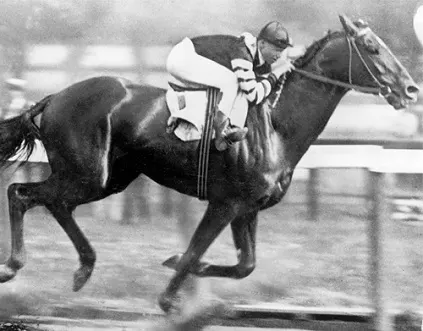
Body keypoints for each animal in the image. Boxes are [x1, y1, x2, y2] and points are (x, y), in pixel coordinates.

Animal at [0, 14, 420, 312]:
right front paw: (171, 297)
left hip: (108, 179)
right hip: (87, 174)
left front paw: (178, 266)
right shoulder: (225, 202)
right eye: (372, 47)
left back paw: (83, 267)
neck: (276, 126)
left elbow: (244, 264)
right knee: (22, 192)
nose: (410, 89)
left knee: (53, 202)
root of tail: (54, 97)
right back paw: (14, 264)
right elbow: (195, 250)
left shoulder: (248, 208)